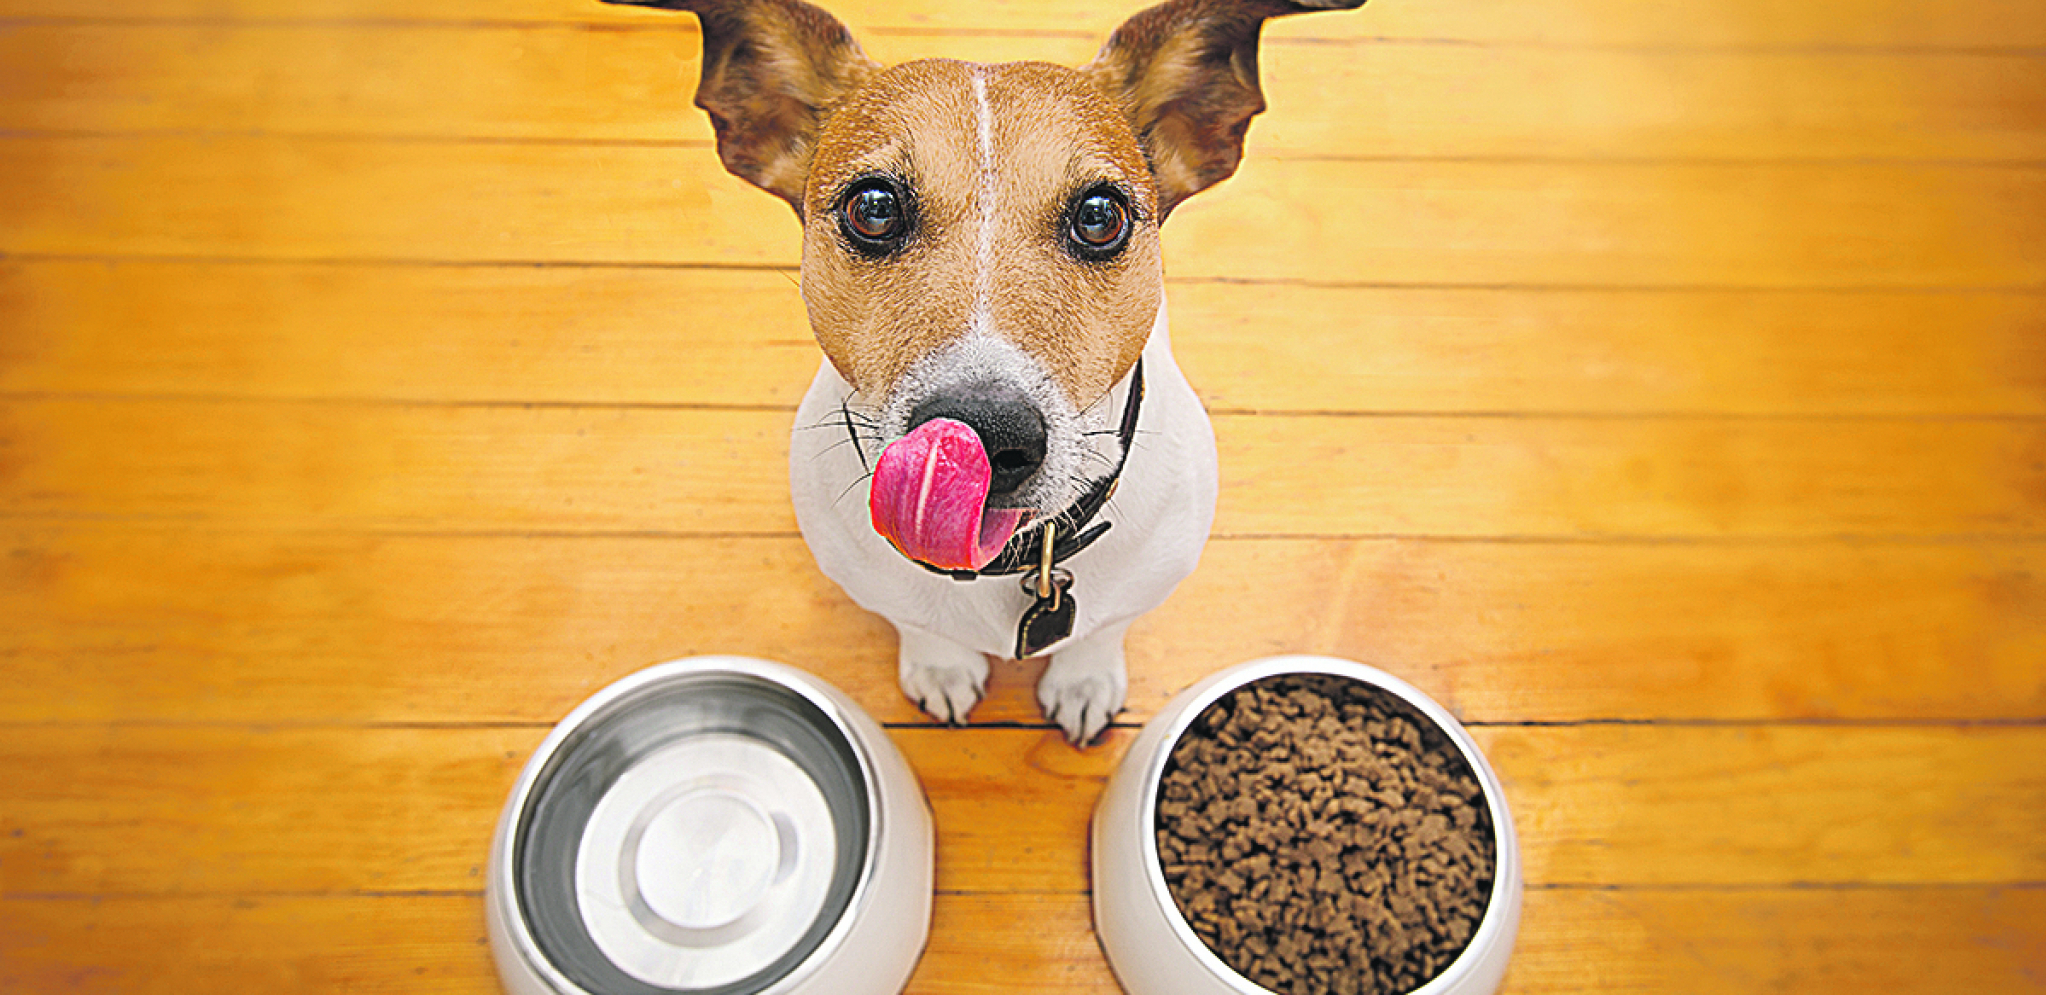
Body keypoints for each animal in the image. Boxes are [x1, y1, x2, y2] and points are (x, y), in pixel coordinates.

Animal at [605, 0, 1374, 737]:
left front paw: (1085, 681)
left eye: (1100, 215)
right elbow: (918, 624)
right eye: (873, 207)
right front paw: (941, 668)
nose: (988, 432)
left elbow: (1104, 629)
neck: (1015, 556)